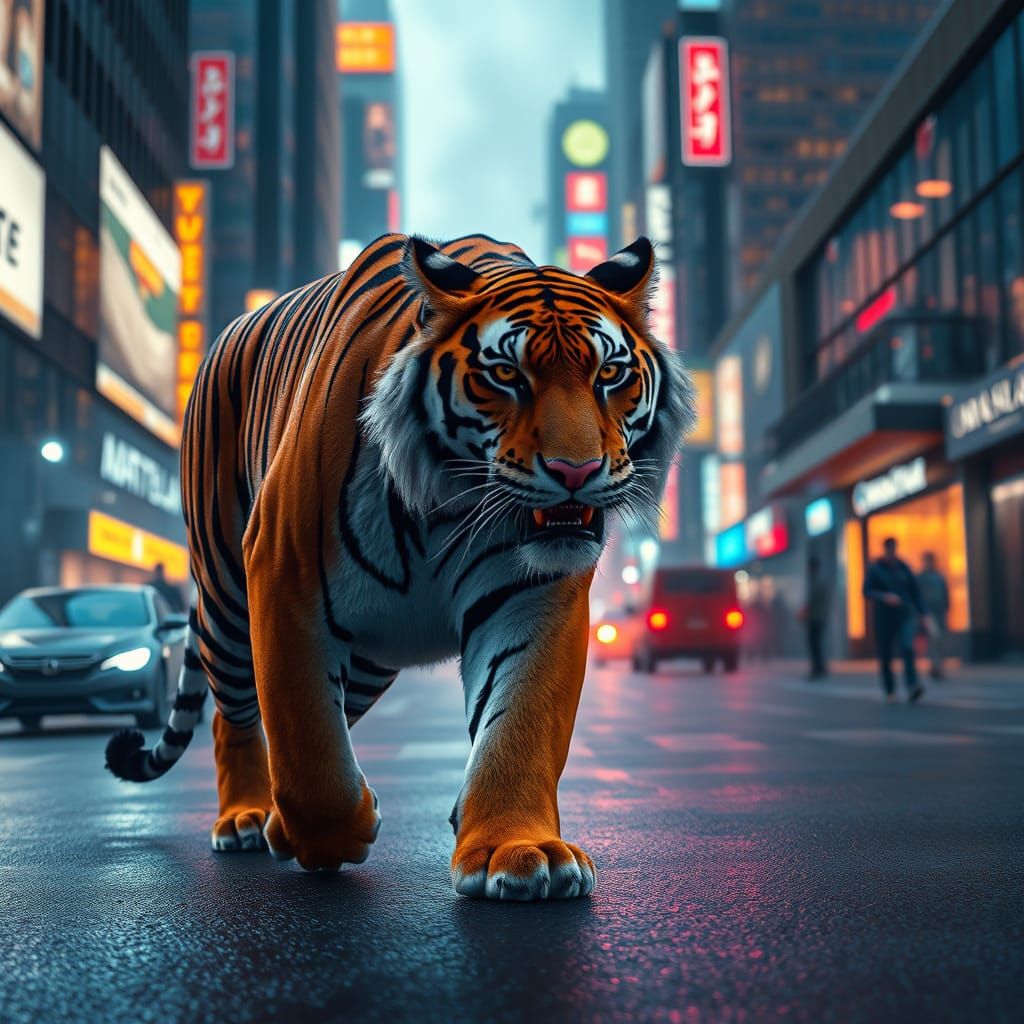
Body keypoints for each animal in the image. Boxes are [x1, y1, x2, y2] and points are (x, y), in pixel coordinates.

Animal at [105, 232, 692, 901]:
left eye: (610, 374)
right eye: (506, 374)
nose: (577, 471)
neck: (448, 507)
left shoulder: (533, 596)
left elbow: (519, 723)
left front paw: (519, 849)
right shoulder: (283, 577)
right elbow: (305, 741)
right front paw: (337, 832)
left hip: (367, 658)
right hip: (226, 598)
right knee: (235, 713)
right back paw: (248, 817)